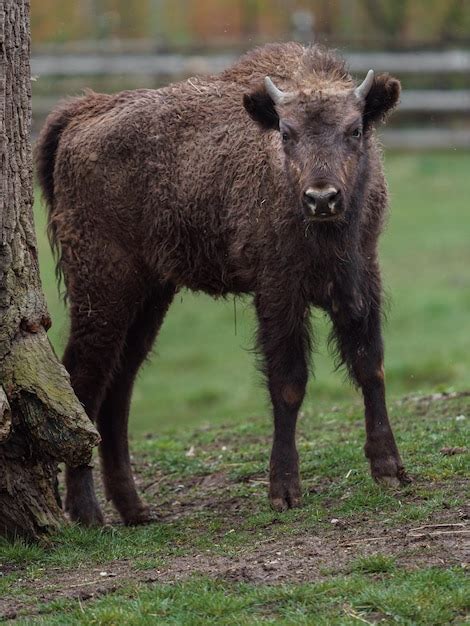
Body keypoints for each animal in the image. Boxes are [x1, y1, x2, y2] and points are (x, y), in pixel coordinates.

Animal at [36, 41, 410, 524]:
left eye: (355, 129)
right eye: (285, 133)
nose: (322, 198)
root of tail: (83, 111)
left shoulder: (360, 281)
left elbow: (370, 366)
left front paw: (389, 469)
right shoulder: (278, 293)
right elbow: (288, 383)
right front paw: (284, 490)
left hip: (151, 295)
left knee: (118, 389)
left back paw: (136, 509)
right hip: (103, 289)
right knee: (83, 382)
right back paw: (88, 512)